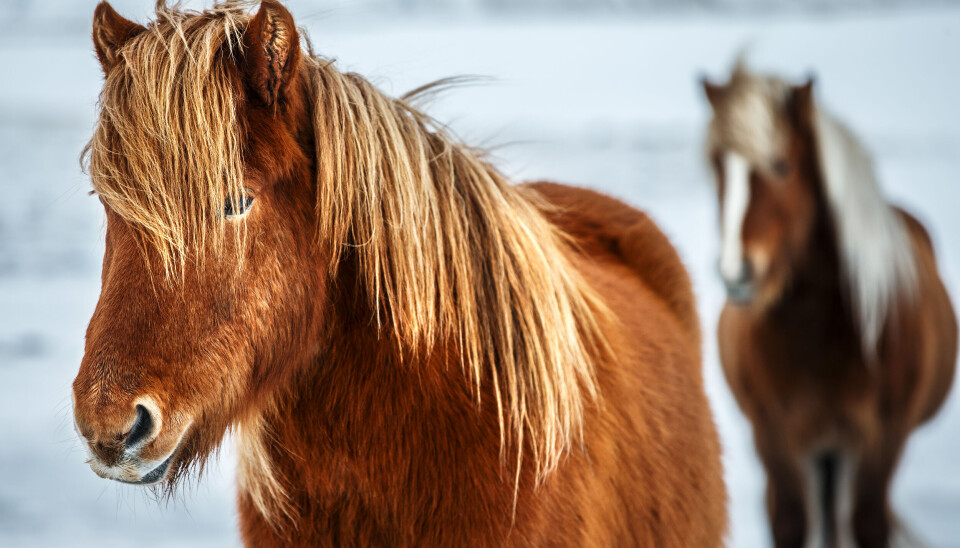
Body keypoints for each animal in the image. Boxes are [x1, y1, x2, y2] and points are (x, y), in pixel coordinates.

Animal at [700, 63, 956, 548]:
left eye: (782, 165)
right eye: (715, 165)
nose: (736, 272)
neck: (820, 334)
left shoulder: (883, 437)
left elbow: (869, 524)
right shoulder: (774, 434)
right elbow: (791, 522)